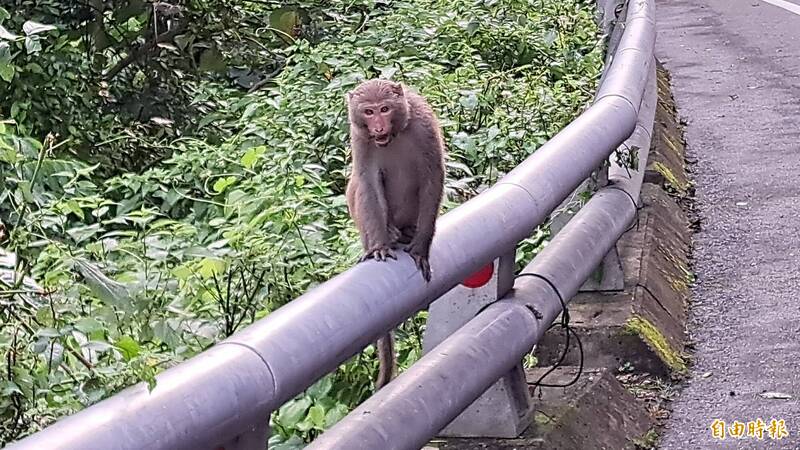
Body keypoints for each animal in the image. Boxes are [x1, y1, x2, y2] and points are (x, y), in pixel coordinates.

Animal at [342, 79, 446, 388]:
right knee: (356, 185)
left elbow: (432, 175)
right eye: (368, 112)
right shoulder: (359, 137)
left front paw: (421, 246)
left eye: (385, 109)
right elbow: (367, 180)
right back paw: (386, 236)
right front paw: (379, 247)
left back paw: (410, 232)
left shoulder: (424, 125)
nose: (378, 128)